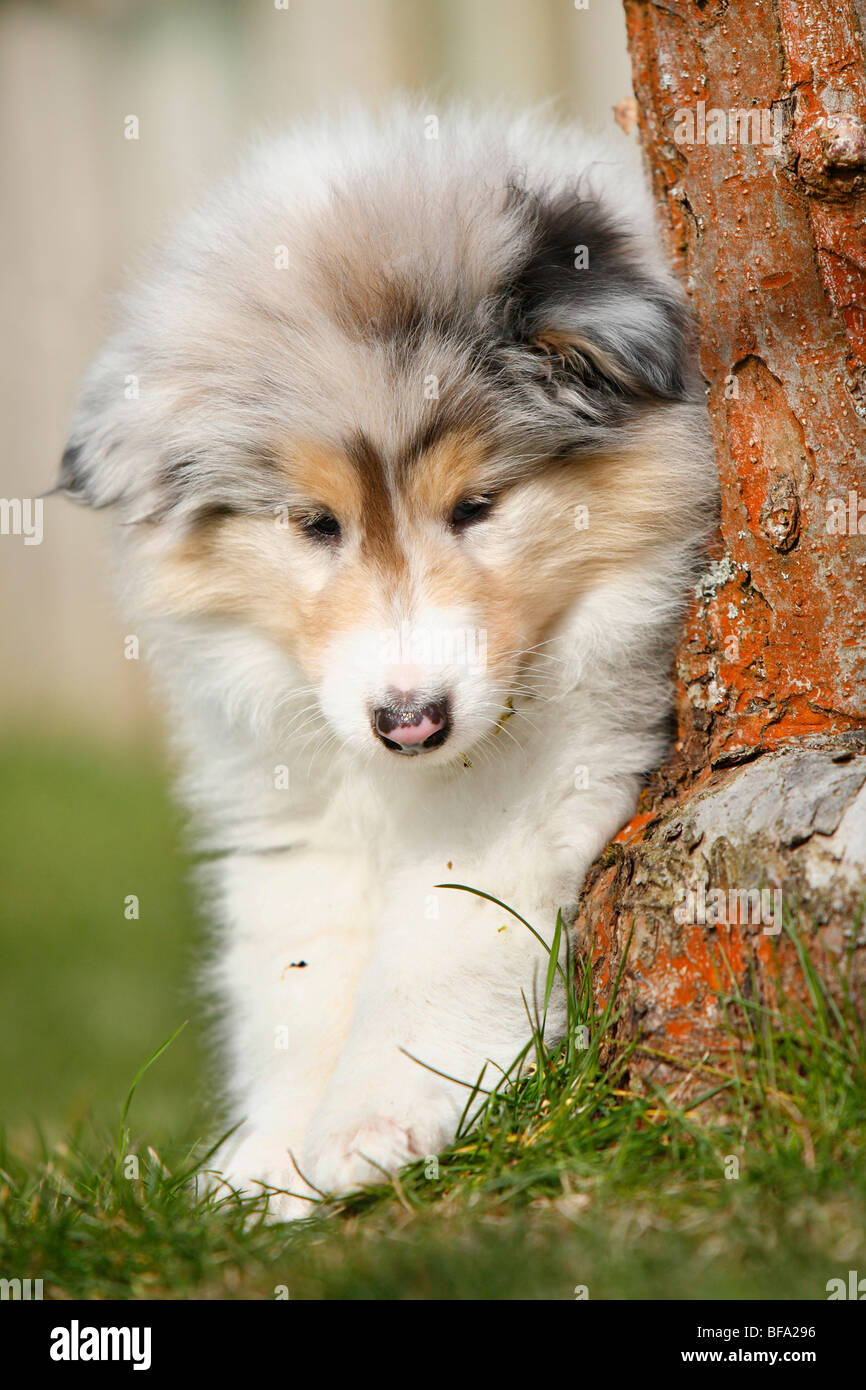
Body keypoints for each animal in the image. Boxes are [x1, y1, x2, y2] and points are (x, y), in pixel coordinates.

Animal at [61, 105, 717, 1217]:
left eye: (476, 506)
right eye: (315, 524)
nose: (411, 722)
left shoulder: (546, 769)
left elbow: (442, 928)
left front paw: (370, 1125)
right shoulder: (290, 798)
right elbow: (294, 963)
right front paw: (264, 1169)